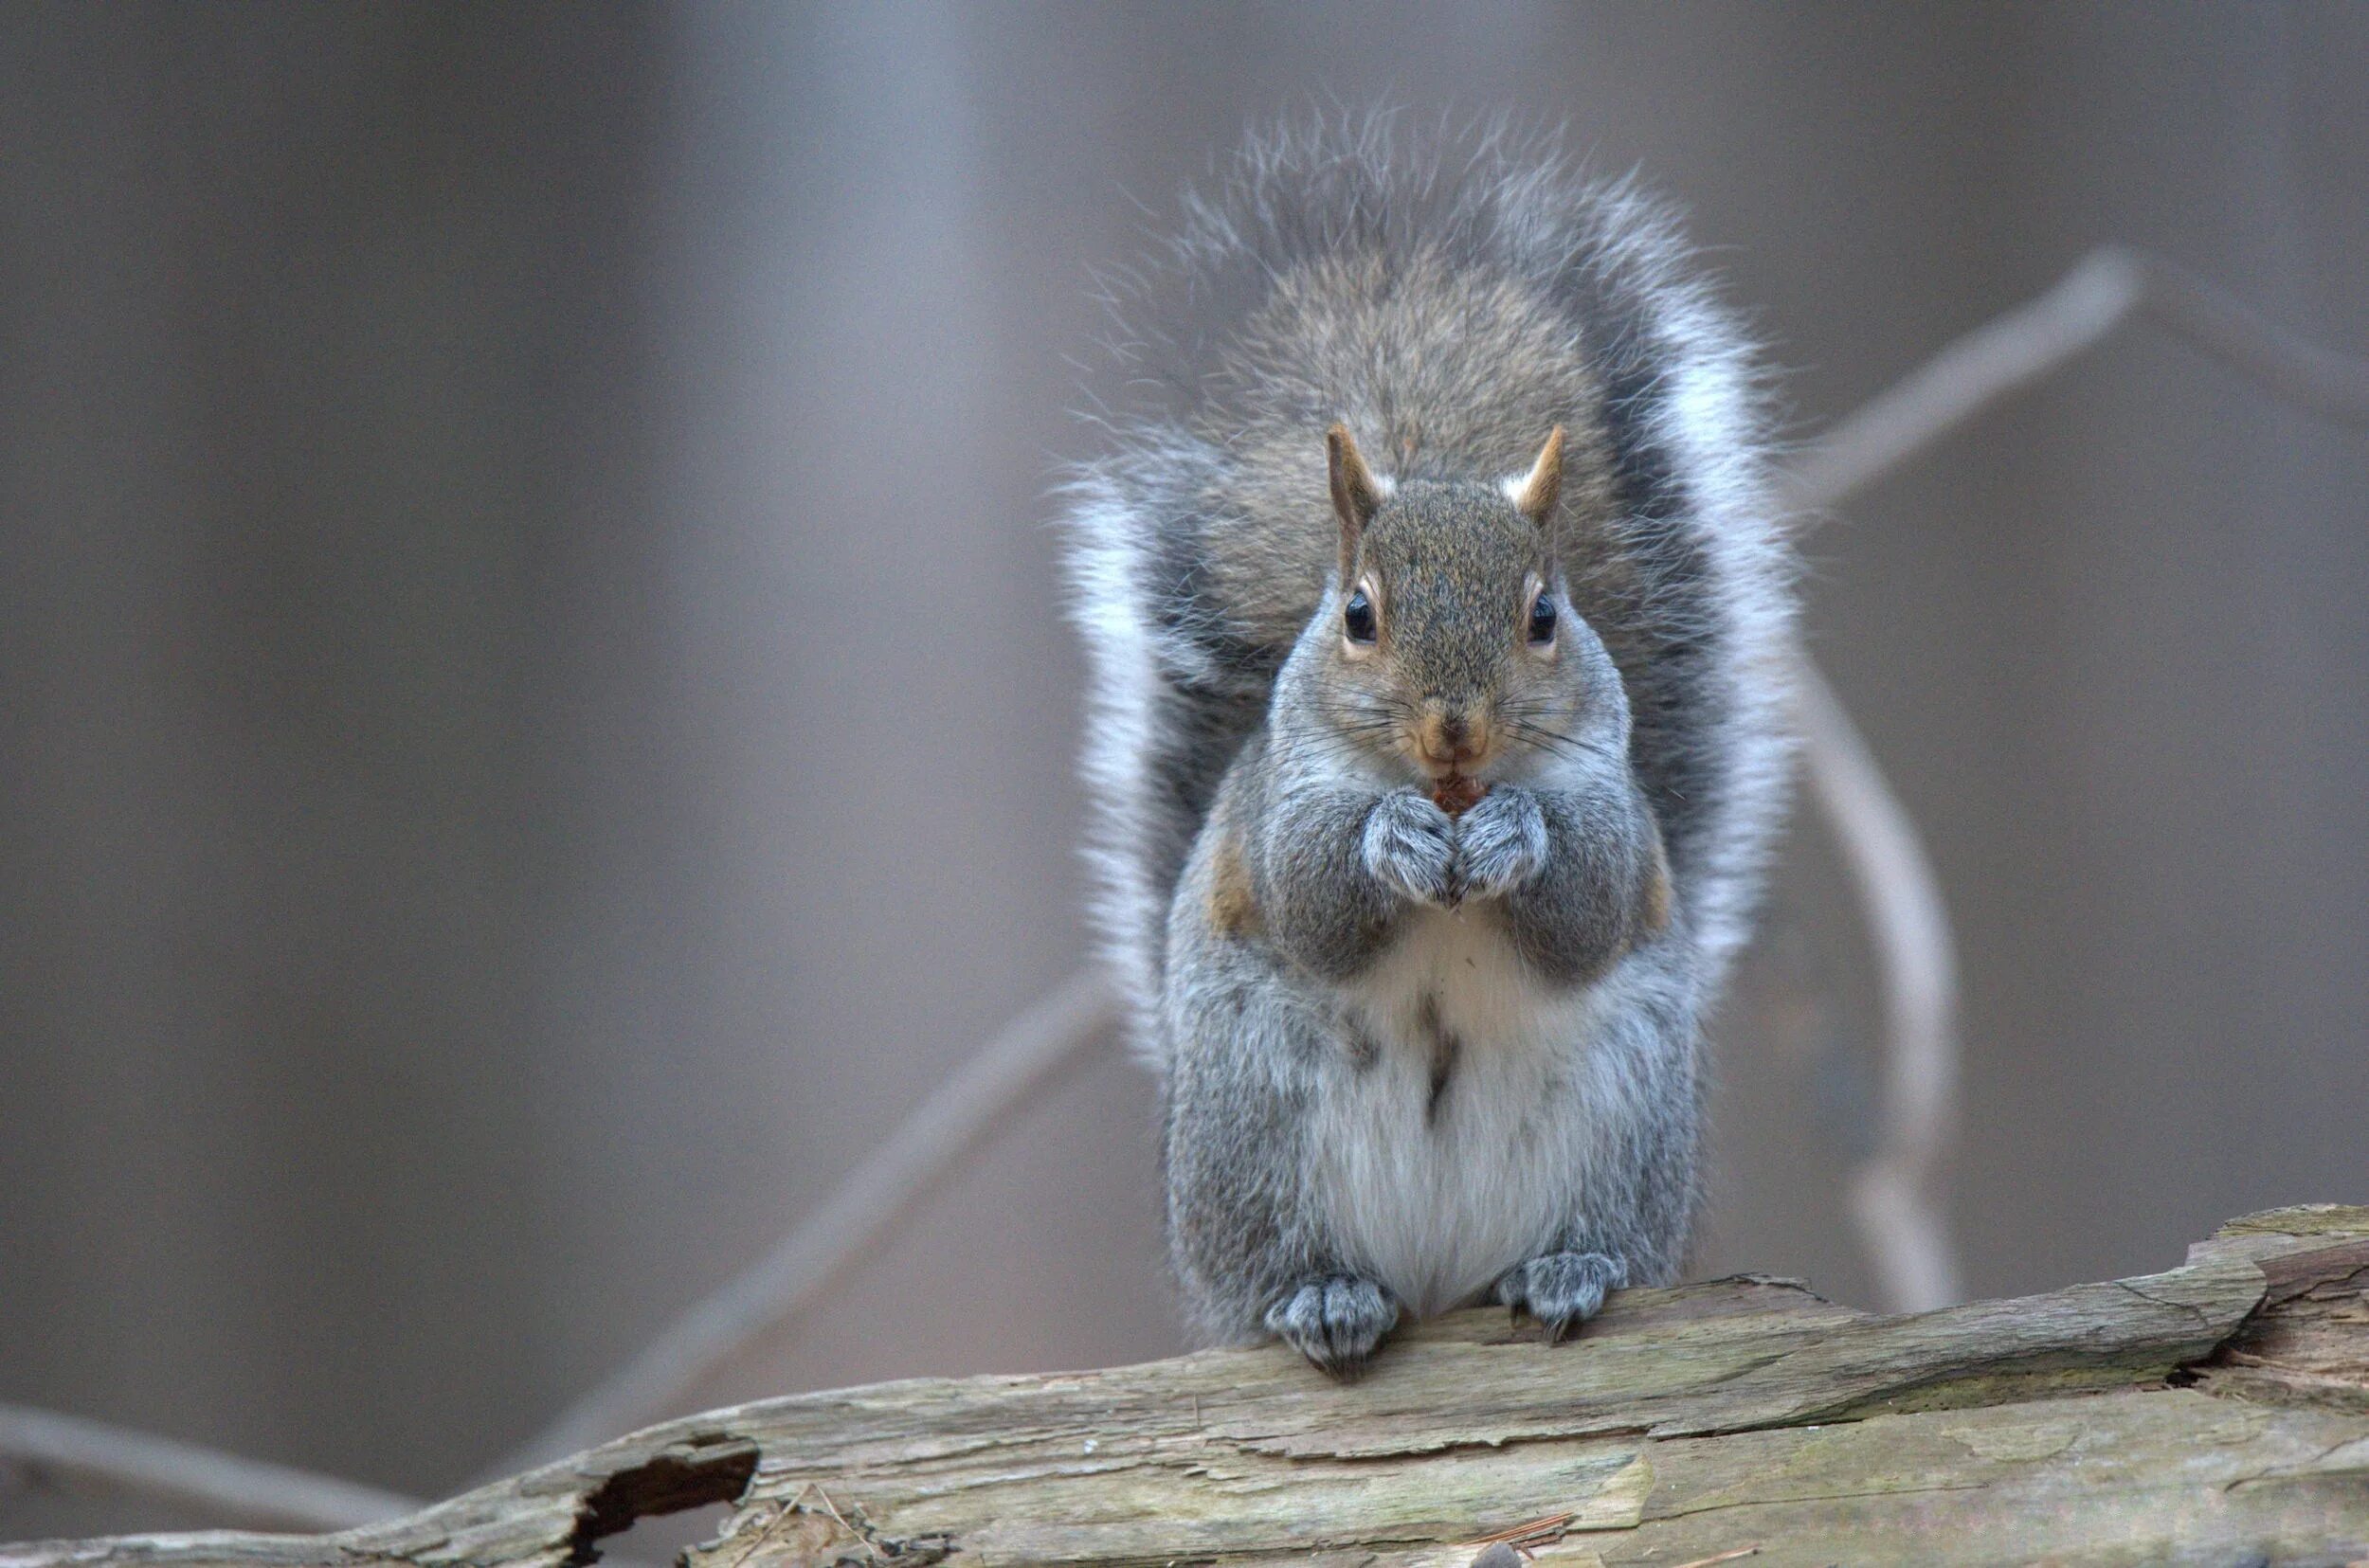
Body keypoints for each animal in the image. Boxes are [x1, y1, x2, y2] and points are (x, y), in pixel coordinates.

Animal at [1066, 123, 1781, 1374]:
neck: (1449, 791)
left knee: (1583, 1234)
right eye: (1356, 614)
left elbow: (1587, 903)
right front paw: (1389, 838)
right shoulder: (1278, 806)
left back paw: (1566, 1267)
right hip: (1253, 1129)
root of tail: (1437, 1282)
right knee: (1282, 1264)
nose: (1455, 731)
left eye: (1545, 615)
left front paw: (1513, 833)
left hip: (1621, 1118)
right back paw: (1322, 1295)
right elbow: (1313, 898)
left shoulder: (1616, 808)